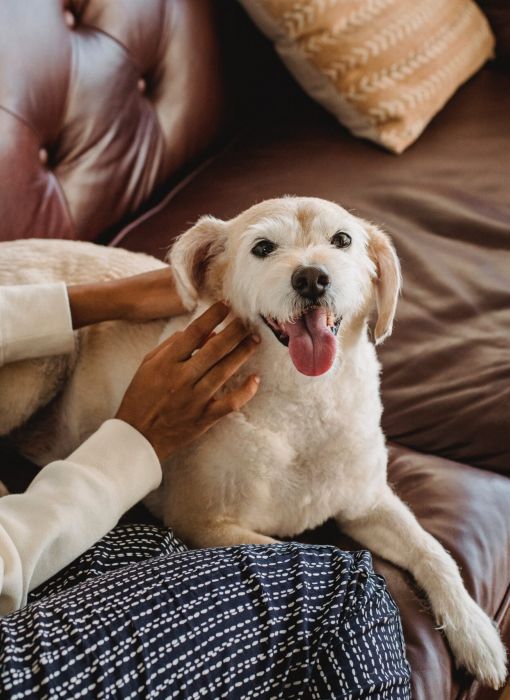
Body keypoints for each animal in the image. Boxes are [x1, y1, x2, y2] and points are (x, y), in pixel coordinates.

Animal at [0, 198, 506, 688]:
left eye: (342, 240)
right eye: (263, 248)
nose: (311, 277)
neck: (304, 399)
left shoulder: (367, 501)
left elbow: (433, 552)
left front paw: (477, 634)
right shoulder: (204, 524)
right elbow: (304, 550)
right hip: (44, 364)